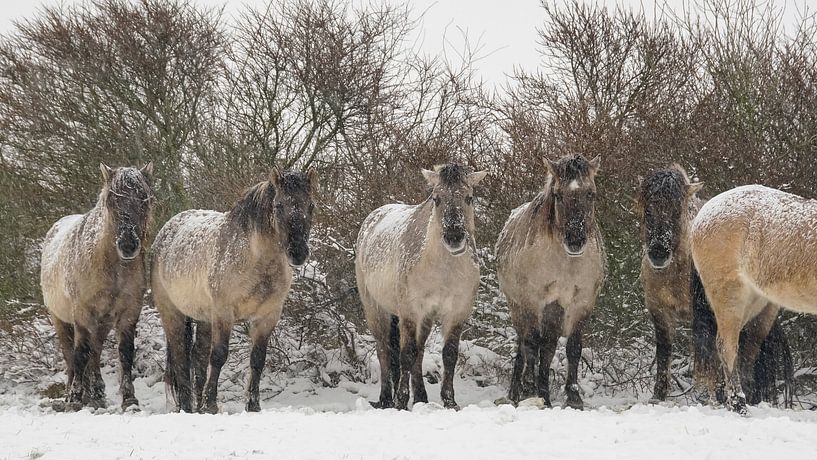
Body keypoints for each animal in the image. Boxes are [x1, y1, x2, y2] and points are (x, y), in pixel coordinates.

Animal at [40, 163, 154, 410]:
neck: (111, 268)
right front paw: (74, 398)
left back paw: (96, 393)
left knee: (96, 351)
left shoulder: (129, 312)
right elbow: (80, 353)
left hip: (103, 321)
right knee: (71, 356)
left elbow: (124, 352)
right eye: (111, 200)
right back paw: (74, 393)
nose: (128, 245)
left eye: (144, 198)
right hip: (60, 319)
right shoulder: (82, 313)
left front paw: (129, 400)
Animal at [150, 167, 317, 413]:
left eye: (311, 205)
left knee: (198, 357)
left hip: (204, 318)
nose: (298, 252)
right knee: (181, 358)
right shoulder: (224, 313)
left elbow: (257, 359)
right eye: (278, 205)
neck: (255, 259)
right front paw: (211, 404)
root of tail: (165, 232)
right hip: (172, 313)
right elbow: (219, 356)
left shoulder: (268, 316)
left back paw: (197, 406)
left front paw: (253, 405)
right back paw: (188, 407)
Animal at [355, 164, 487, 410]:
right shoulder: (409, 311)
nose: (454, 236)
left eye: (469, 198)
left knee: (419, 351)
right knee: (384, 351)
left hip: (425, 318)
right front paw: (400, 401)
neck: (443, 269)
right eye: (436, 198)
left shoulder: (457, 312)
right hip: (375, 309)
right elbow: (406, 354)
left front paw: (449, 401)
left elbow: (448, 355)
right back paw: (386, 398)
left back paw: (421, 397)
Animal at [495, 154, 606, 410]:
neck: (565, 262)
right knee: (524, 345)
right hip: (518, 307)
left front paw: (573, 397)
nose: (575, 240)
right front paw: (529, 388)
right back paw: (518, 392)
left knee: (547, 348)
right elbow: (531, 344)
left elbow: (573, 347)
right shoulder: (532, 301)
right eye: (558, 194)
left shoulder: (581, 302)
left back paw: (543, 393)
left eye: (591, 193)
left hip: (553, 311)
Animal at [640, 167, 793, 405]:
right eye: (647, 210)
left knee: (746, 360)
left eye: (677, 211)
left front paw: (717, 397)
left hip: (760, 322)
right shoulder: (660, 312)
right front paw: (658, 397)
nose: (658, 254)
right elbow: (664, 354)